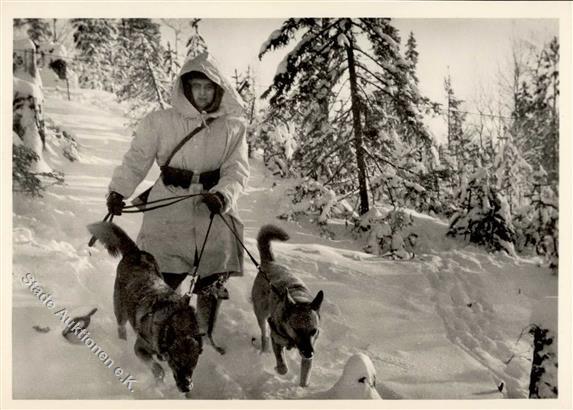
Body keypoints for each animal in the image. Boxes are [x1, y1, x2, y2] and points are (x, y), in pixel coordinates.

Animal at [87, 223, 203, 396]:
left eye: (193, 364)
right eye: (176, 362)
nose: (186, 387)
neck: (171, 322)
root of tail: (137, 252)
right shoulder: (140, 349)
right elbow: (158, 368)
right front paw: (159, 383)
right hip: (120, 309)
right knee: (121, 326)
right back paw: (121, 343)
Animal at [252, 224, 324, 388]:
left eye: (313, 331)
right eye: (297, 329)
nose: (309, 353)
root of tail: (269, 263)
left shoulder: (309, 348)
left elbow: (305, 376)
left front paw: (303, 388)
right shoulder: (277, 340)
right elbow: (282, 366)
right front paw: (279, 368)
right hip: (261, 314)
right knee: (264, 334)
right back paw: (264, 350)